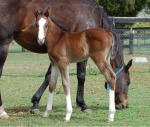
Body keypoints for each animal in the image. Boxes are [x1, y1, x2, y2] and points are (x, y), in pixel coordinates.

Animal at [0, 0, 132, 119]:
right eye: (128, 82)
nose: (124, 105)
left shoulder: (58, 59)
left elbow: (50, 79)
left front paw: (37, 104)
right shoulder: (71, 59)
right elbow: (78, 77)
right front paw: (81, 105)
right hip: (3, 44)